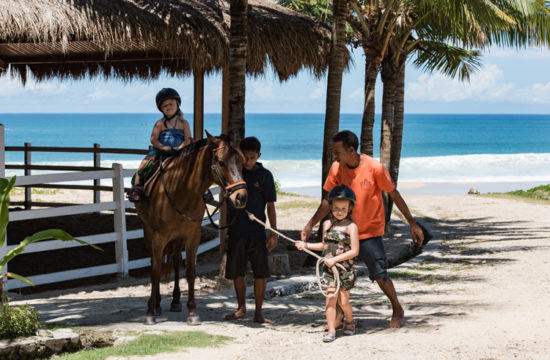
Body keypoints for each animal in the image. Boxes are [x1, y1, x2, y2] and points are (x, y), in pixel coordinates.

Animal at [137, 133, 249, 326]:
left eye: (241, 161)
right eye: (221, 162)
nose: (240, 197)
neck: (181, 190)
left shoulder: (193, 236)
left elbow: (190, 272)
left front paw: (192, 312)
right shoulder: (158, 237)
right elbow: (155, 272)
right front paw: (150, 313)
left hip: (176, 238)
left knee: (175, 262)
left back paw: (175, 301)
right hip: (148, 231)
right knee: (155, 262)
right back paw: (156, 304)